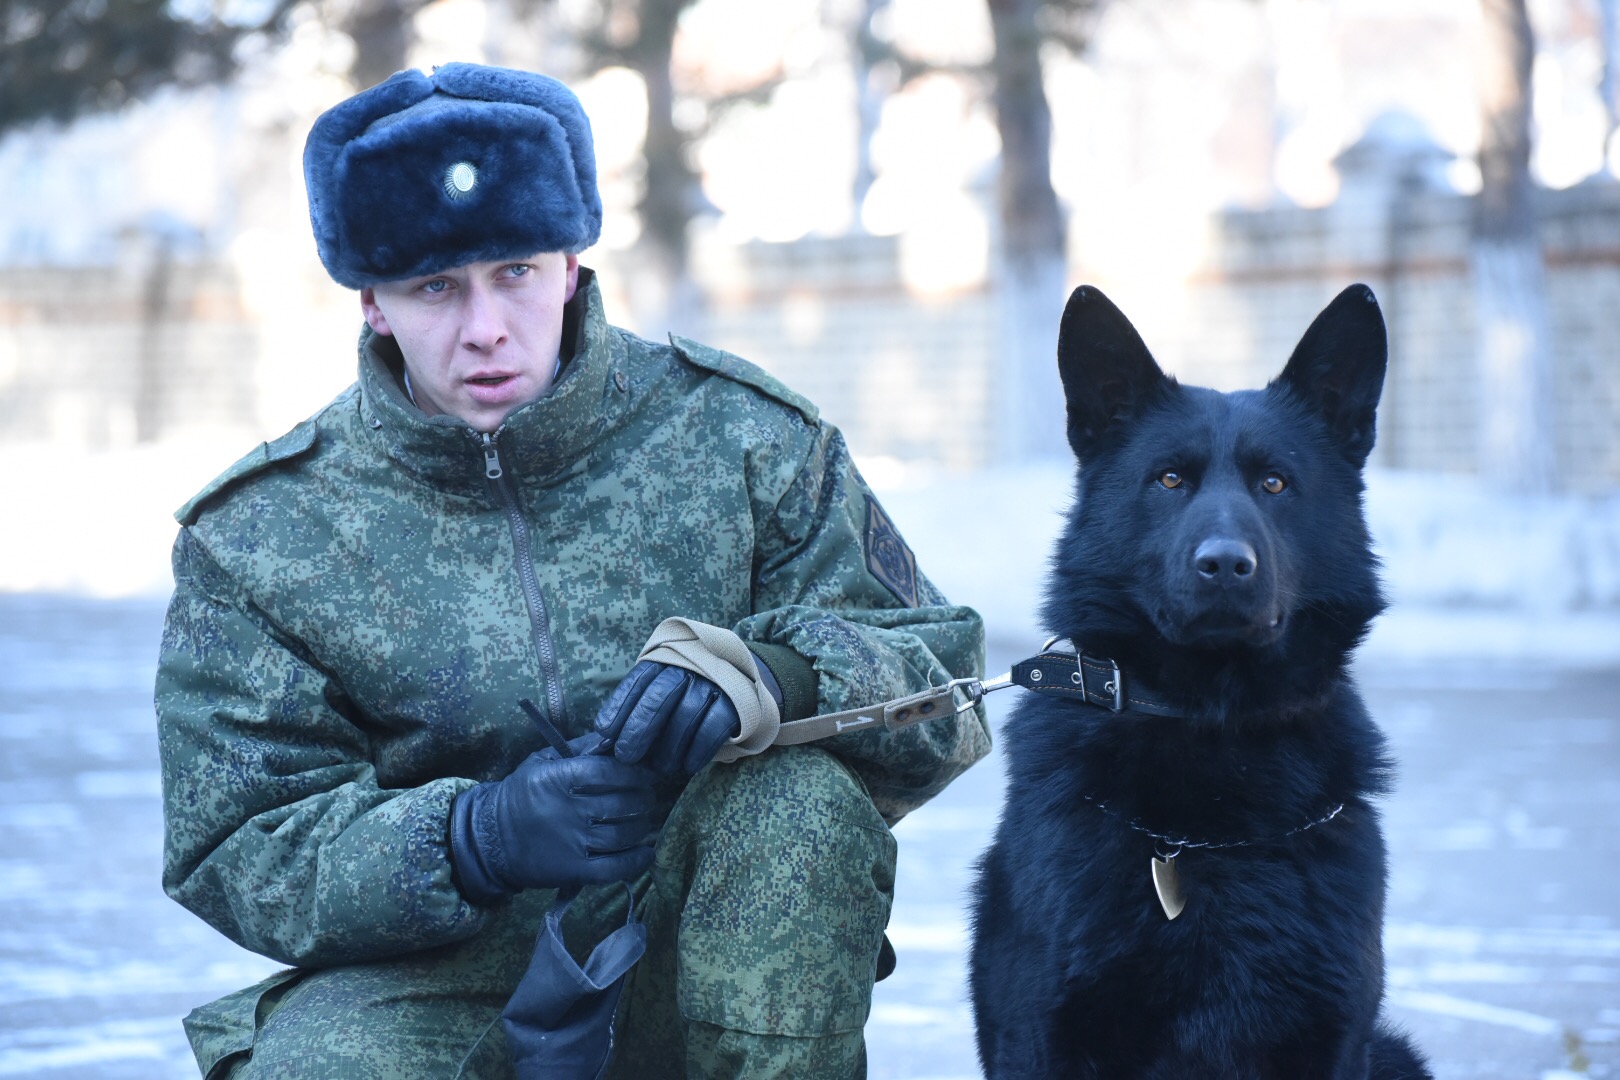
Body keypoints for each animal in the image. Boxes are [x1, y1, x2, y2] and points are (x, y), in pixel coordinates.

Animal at [965, 283, 1425, 1075]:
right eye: (1170, 479)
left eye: (1275, 482)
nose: (1225, 564)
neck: (1214, 732)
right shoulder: (1047, 1033)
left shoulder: (1335, 1035)